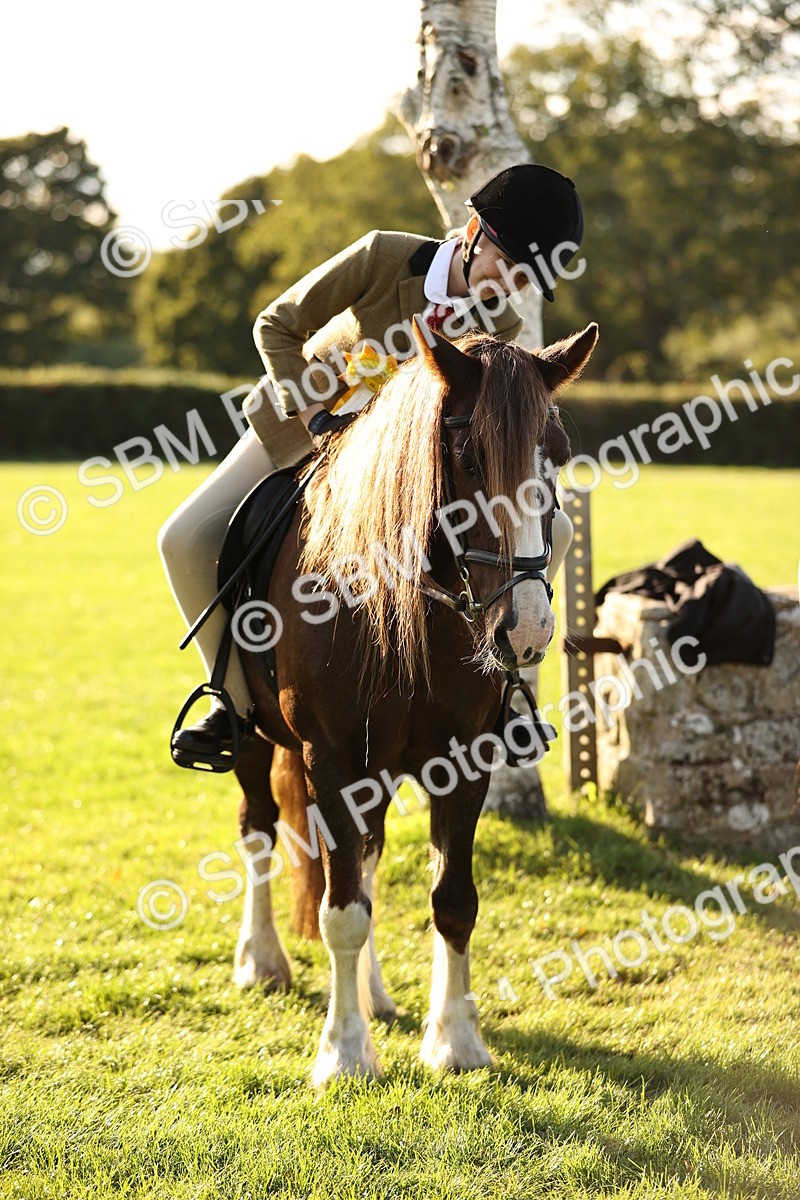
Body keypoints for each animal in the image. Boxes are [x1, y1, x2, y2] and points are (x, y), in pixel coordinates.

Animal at [230, 317, 598, 1085]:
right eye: (467, 455)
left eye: (556, 458)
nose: (526, 630)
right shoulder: (333, 759)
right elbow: (341, 910)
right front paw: (344, 1054)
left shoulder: (463, 760)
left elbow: (451, 901)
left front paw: (455, 1042)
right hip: (255, 738)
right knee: (258, 827)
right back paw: (263, 960)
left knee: (365, 856)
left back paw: (371, 993)